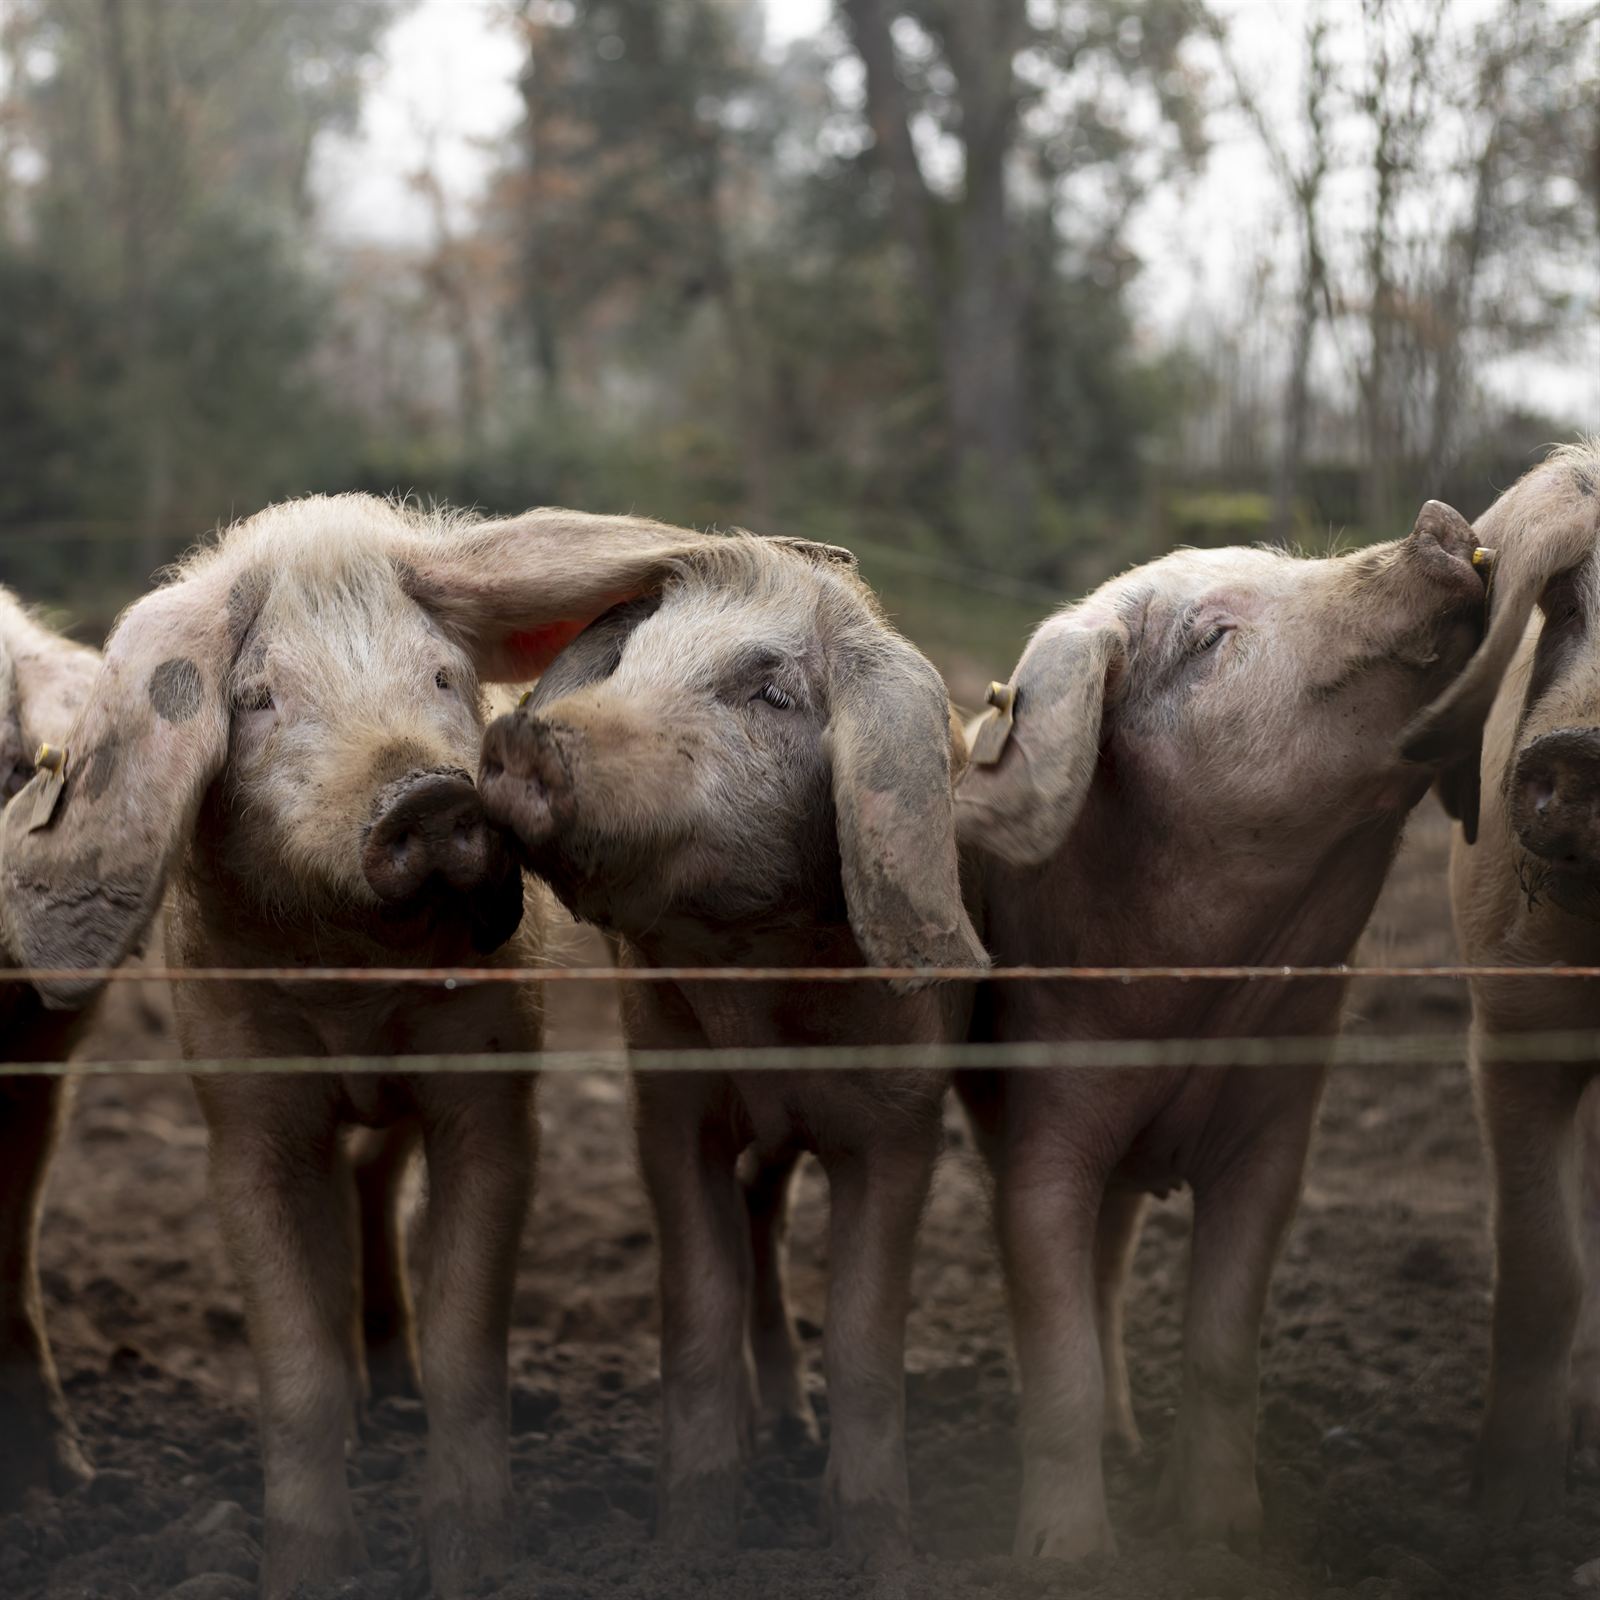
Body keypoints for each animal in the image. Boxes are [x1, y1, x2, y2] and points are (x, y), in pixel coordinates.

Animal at [0, 495, 722, 1598]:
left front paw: (475, 1560)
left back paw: (391, 1386)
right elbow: (291, 1359)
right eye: (258, 699)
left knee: (377, 1188)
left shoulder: (491, 1089)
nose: (427, 796)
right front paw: (308, 1569)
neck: (357, 986)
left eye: (443, 676)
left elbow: (468, 1341)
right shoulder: (244, 1112)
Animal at [476, 535, 986, 1564]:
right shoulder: (669, 1106)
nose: (520, 738)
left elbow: (865, 1332)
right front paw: (687, 1547)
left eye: (773, 696)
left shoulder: (905, 1124)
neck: (761, 1000)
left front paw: (877, 1554)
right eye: (630, 663)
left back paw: (792, 1429)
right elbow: (697, 1309)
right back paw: (769, 1432)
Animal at [952, 500, 1490, 1560]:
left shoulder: (1277, 1133)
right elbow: (1057, 1341)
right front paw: (1069, 1560)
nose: (1440, 520)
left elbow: (1222, 1345)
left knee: (1112, 1264)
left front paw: (1223, 1537)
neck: (1199, 1010)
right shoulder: (1043, 1118)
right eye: (1210, 638)